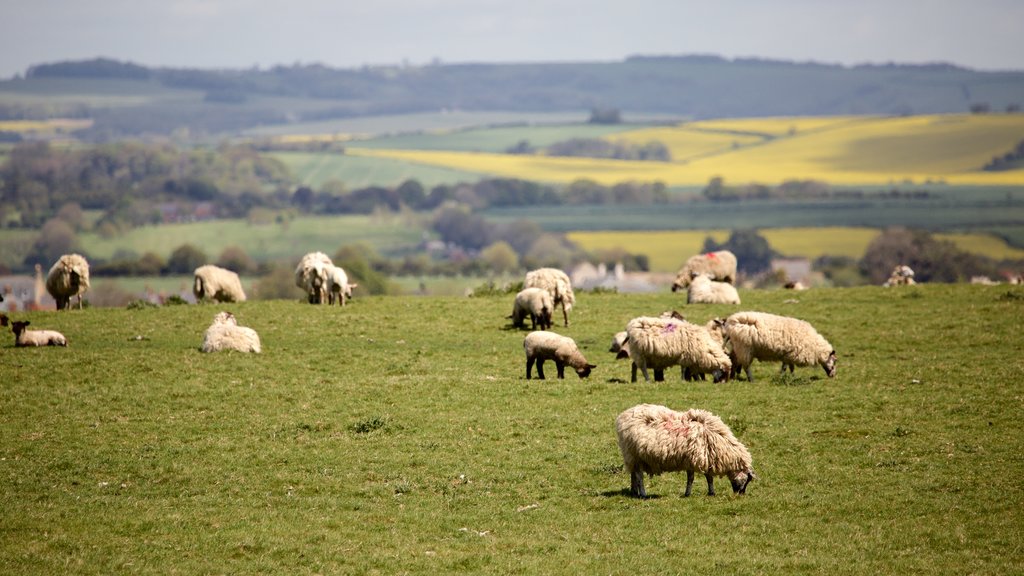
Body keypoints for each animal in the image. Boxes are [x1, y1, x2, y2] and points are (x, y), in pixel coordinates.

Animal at [610, 401, 757, 496]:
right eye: (747, 480)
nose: (740, 494)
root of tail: (622, 417)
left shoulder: (701, 458)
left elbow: (705, 478)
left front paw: (709, 492)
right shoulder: (698, 457)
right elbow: (697, 478)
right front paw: (691, 493)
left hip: (633, 457)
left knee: (634, 474)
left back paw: (634, 492)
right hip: (634, 454)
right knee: (639, 476)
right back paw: (643, 494)